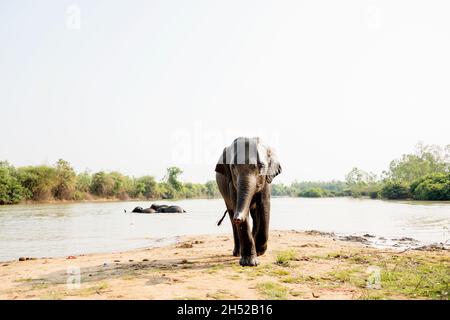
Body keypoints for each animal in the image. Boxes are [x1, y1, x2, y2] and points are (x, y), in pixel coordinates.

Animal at [214, 136, 282, 266]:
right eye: (233, 167)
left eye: (261, 166)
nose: (238, 218)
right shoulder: (231, 182)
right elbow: (236, 203)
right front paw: (249, 262)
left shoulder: (266, 179)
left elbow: (264, 205)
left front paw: (260, 251)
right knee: (231, 214)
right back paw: (237, 253)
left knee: (255, 215)